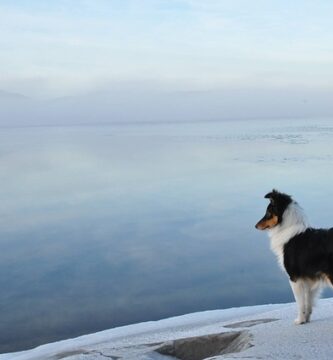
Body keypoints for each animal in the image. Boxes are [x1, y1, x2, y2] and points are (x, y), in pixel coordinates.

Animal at [254, 190, 332, 324]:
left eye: (268, 213)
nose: (255, 226)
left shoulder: (295, 278)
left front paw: (299, 320)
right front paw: (306, 319)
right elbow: (308, 302)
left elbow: (300, 302)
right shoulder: (309, 278)